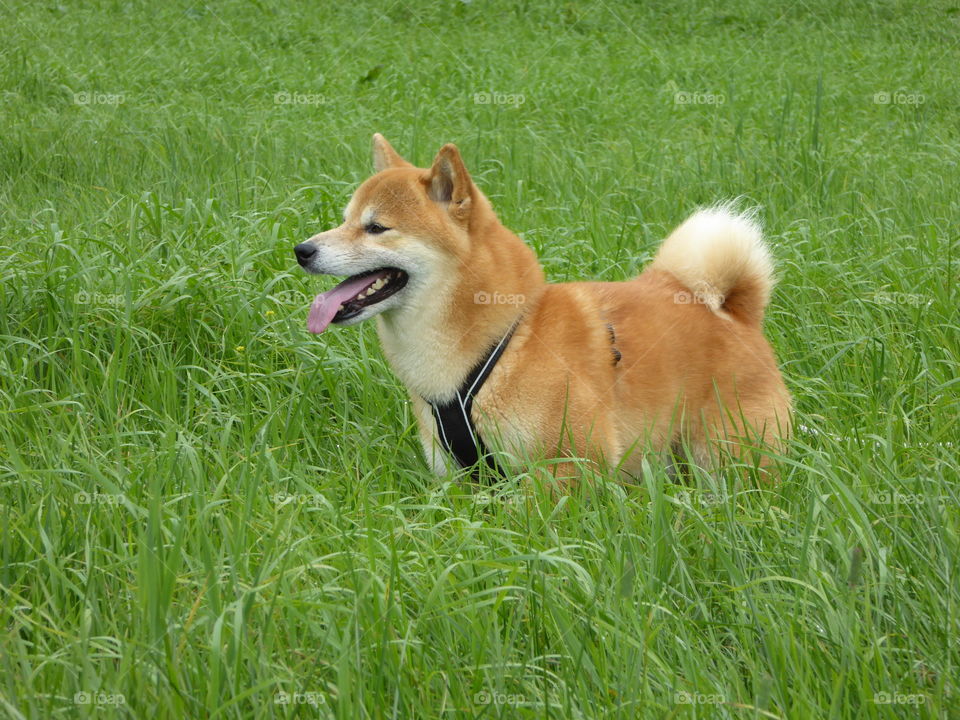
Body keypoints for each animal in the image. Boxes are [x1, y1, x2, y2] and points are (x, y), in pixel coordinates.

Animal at [292, 135, 788, 484]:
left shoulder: (570, 464)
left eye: (376, 227)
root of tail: (733, 313)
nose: (302, 250)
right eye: (345, 220)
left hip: (729, 456)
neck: (502, 341)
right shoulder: (461, 480)